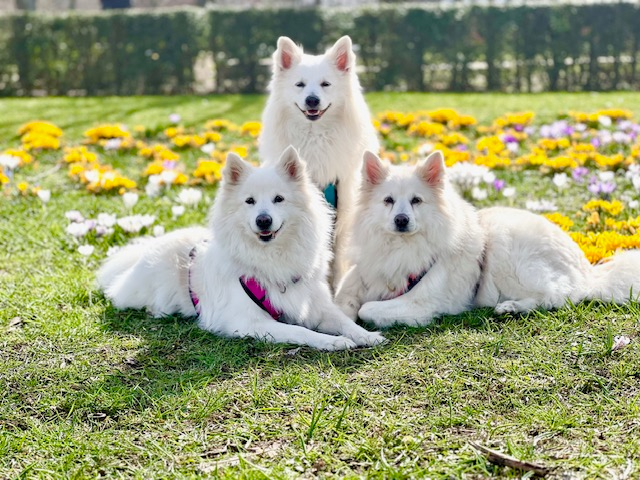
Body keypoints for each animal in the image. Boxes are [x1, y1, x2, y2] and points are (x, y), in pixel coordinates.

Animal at [260, 35, 380, 286]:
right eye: (300, 85)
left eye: (326, 84)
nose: (312, 100)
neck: (315, 138)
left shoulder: (342, 215)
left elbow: (337, 261)